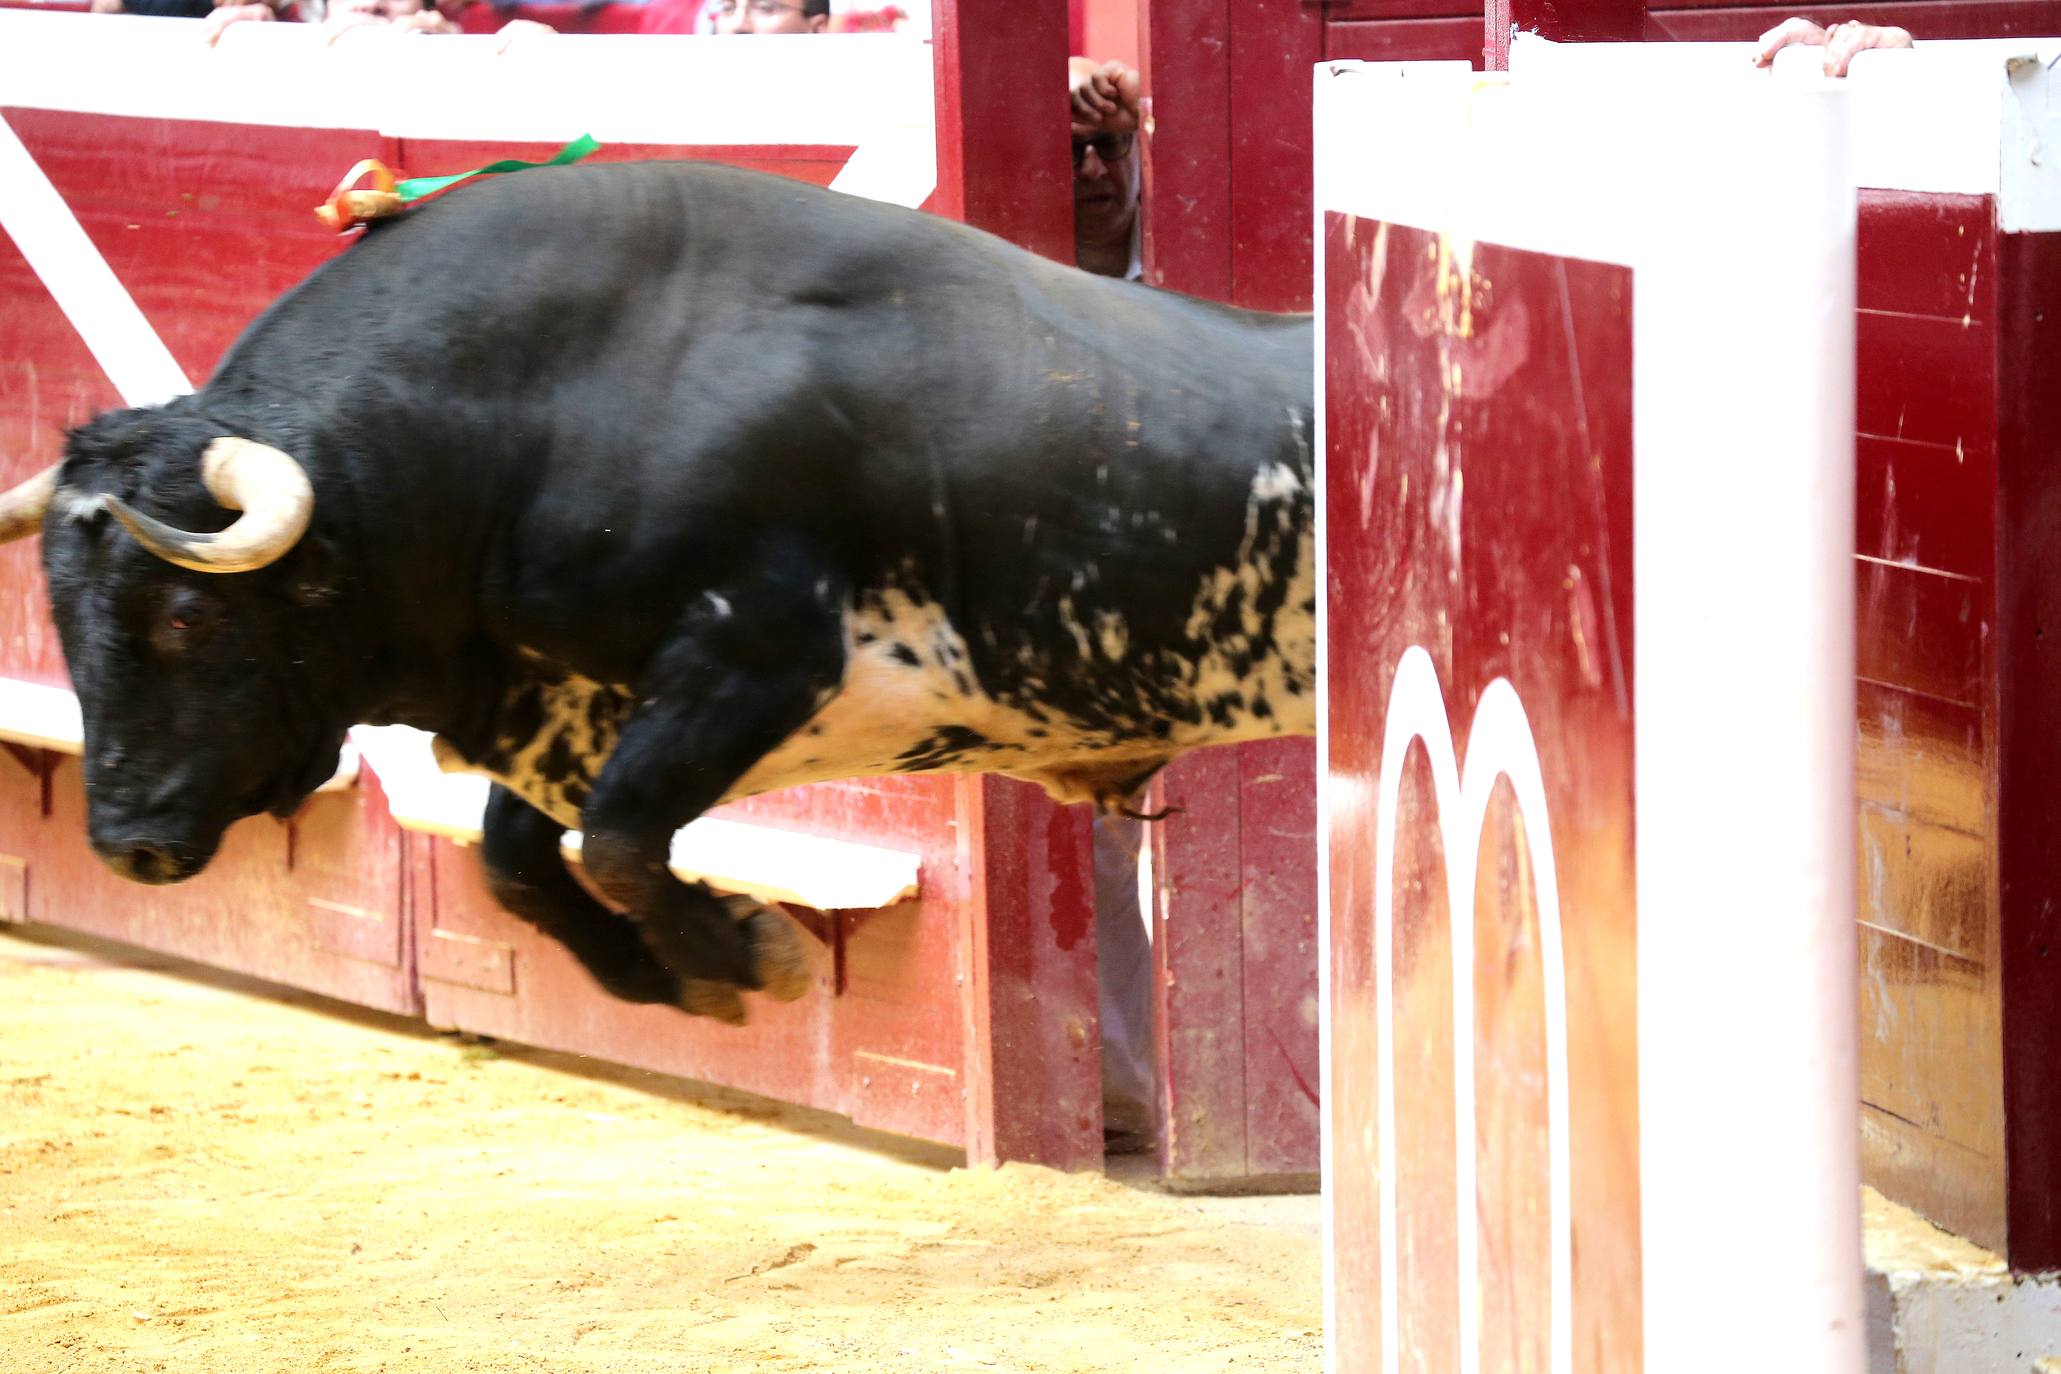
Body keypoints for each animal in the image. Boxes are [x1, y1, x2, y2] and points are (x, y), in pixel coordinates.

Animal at [0, 158, 1310, 1021]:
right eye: (61, 614)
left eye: (187, 614)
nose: (125, 844)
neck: (533, 407)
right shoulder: (571, 706)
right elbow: (518, 861)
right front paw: (661, 973)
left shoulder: (755, 659)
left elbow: (623, 842)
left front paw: (750, 954)